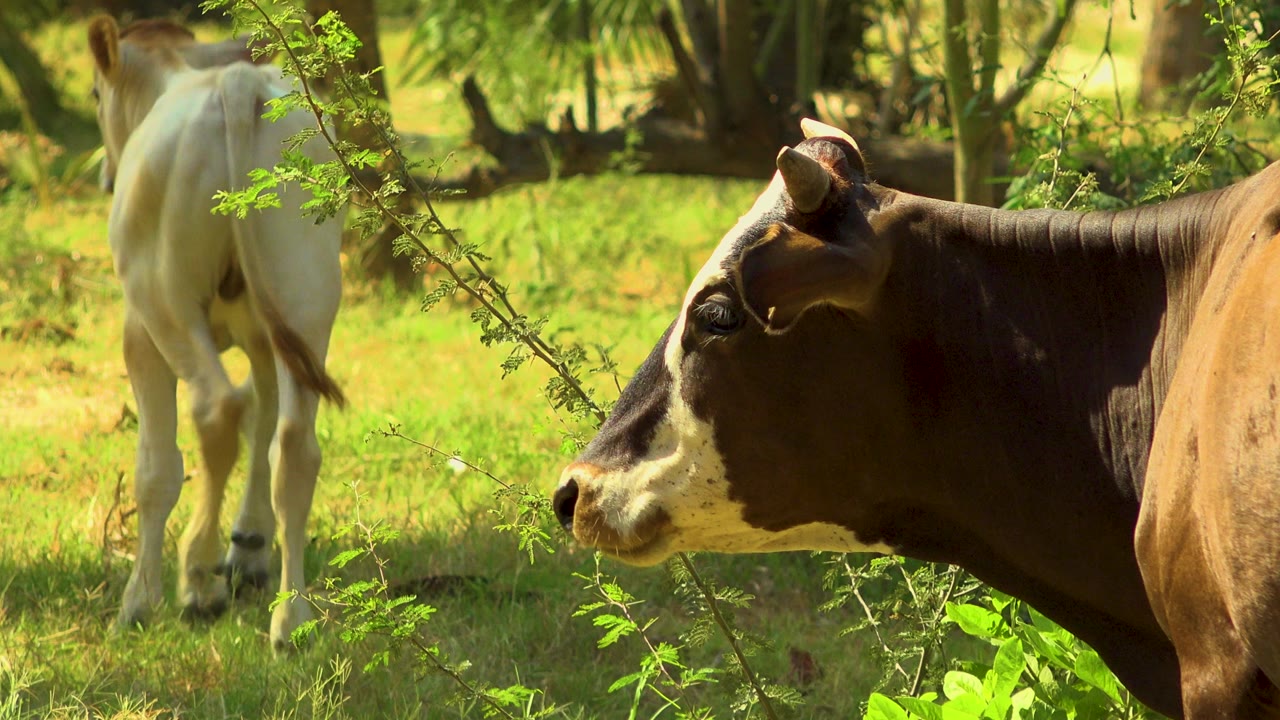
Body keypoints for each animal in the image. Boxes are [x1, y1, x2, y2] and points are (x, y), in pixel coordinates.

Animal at [88, 16, 346, 650]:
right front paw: (249, 548)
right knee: (294, 444)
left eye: (95, 95)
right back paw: (290, 619)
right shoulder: (262, 337)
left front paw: (142, 599)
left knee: (216, 410)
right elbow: (264, 416)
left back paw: (196, 580)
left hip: (164, 299)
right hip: (306, 295)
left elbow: (156, 466)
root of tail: (236, 83)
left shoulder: (138, 335)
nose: (105, 175)